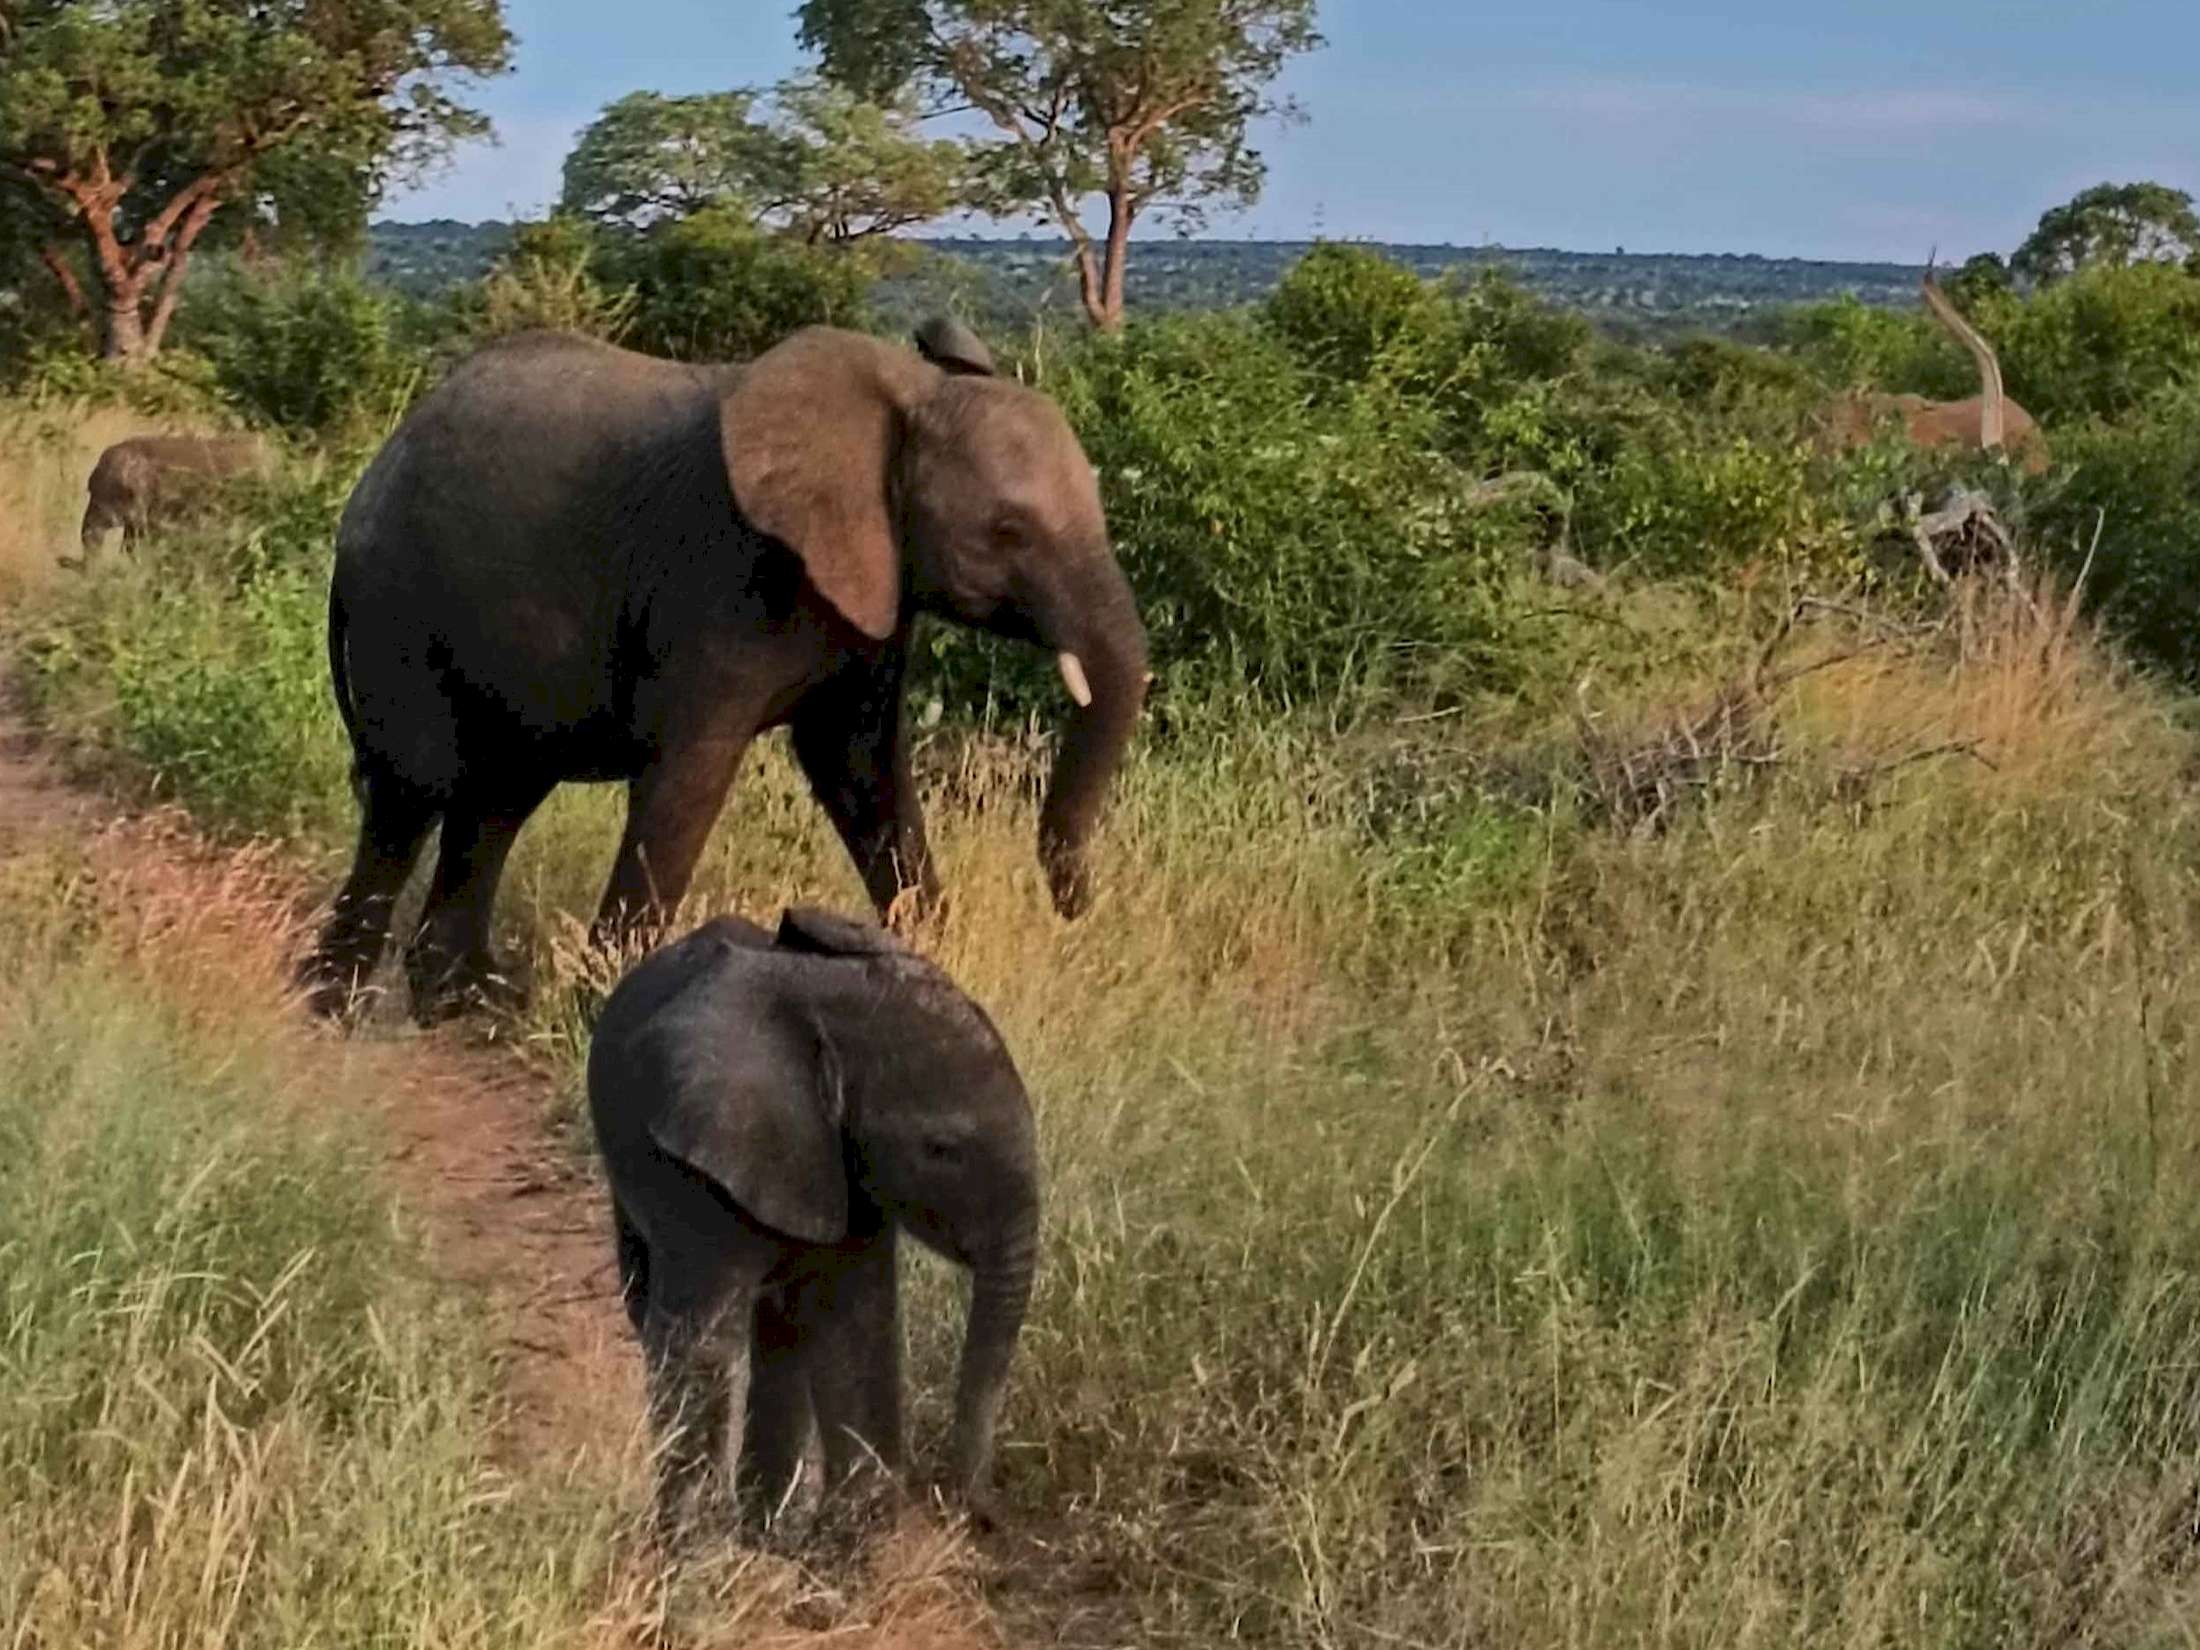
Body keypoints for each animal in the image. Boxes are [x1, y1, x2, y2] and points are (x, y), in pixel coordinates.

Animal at [302, 317, 1149, 1023]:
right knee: (411, 794)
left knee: (496, 801)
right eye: (1007, 530)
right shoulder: (721, 581)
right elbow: (691, 779)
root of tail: (375, 472)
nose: (1078, 906)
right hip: (398, 601)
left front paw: (939, 980)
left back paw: (465, 1004)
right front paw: (603, 1015)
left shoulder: (872, 591)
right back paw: (337, 1005)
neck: (902, 398)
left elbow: (861, 770)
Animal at [587, 905, 1041, 1538]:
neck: (828, 1026)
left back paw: (764, 1524)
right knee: (651, 1299)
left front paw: (852, 1541)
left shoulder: (845, 1162)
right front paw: (691, 1547)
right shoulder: (702, 1161)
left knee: (778, 1333)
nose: (987, 1518)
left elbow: (854, 1323)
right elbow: (703, 1342)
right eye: (941, 1150)